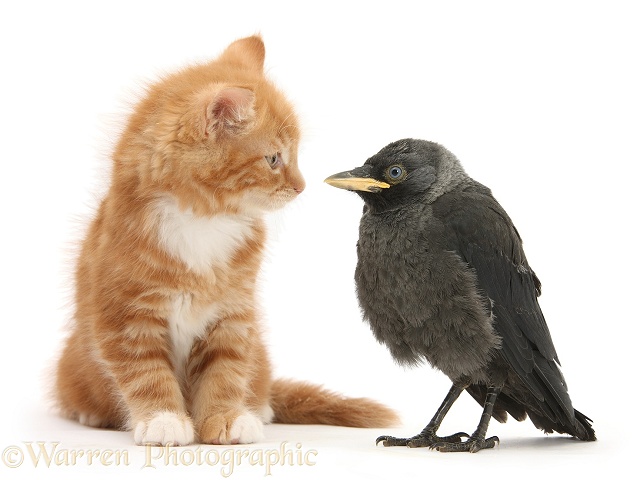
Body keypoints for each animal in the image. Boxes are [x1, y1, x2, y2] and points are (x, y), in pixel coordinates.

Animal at [56, 34, 396, 446]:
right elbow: (145, 373)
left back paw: (259, 407)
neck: (204, 221)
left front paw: (227, 418)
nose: (301, 187)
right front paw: (164, 419)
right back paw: (89, 412)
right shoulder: (126, 315)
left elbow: (226, 370)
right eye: (273, 159)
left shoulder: (234, 312)